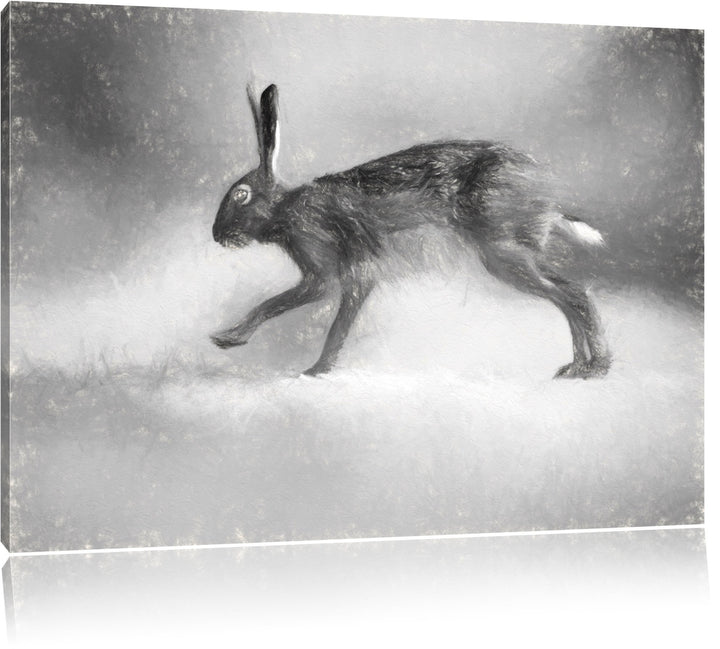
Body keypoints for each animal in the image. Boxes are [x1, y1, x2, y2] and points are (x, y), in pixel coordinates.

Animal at [211, 83, 611, 379]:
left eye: (241, 195)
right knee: (569, 295)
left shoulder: (341, 270)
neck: (286, 210)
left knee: (574, 295)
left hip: (503, 253)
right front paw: (229, 339)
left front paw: (315, 369)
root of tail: (546, 198)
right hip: (513, 255)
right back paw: (577, 365)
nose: (216, 235)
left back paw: (595, 369)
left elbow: (323, 320)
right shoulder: (327, 277)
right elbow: (282, 307)